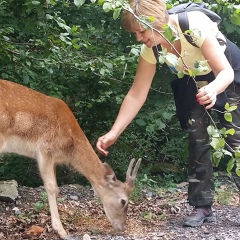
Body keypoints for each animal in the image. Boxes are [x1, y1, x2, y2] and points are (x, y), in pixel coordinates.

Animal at [0, 79, 142, 239]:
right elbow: (52, 187)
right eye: (123, 201)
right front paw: (61, 231)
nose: (123, 227)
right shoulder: (45, 148)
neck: (70, 149)